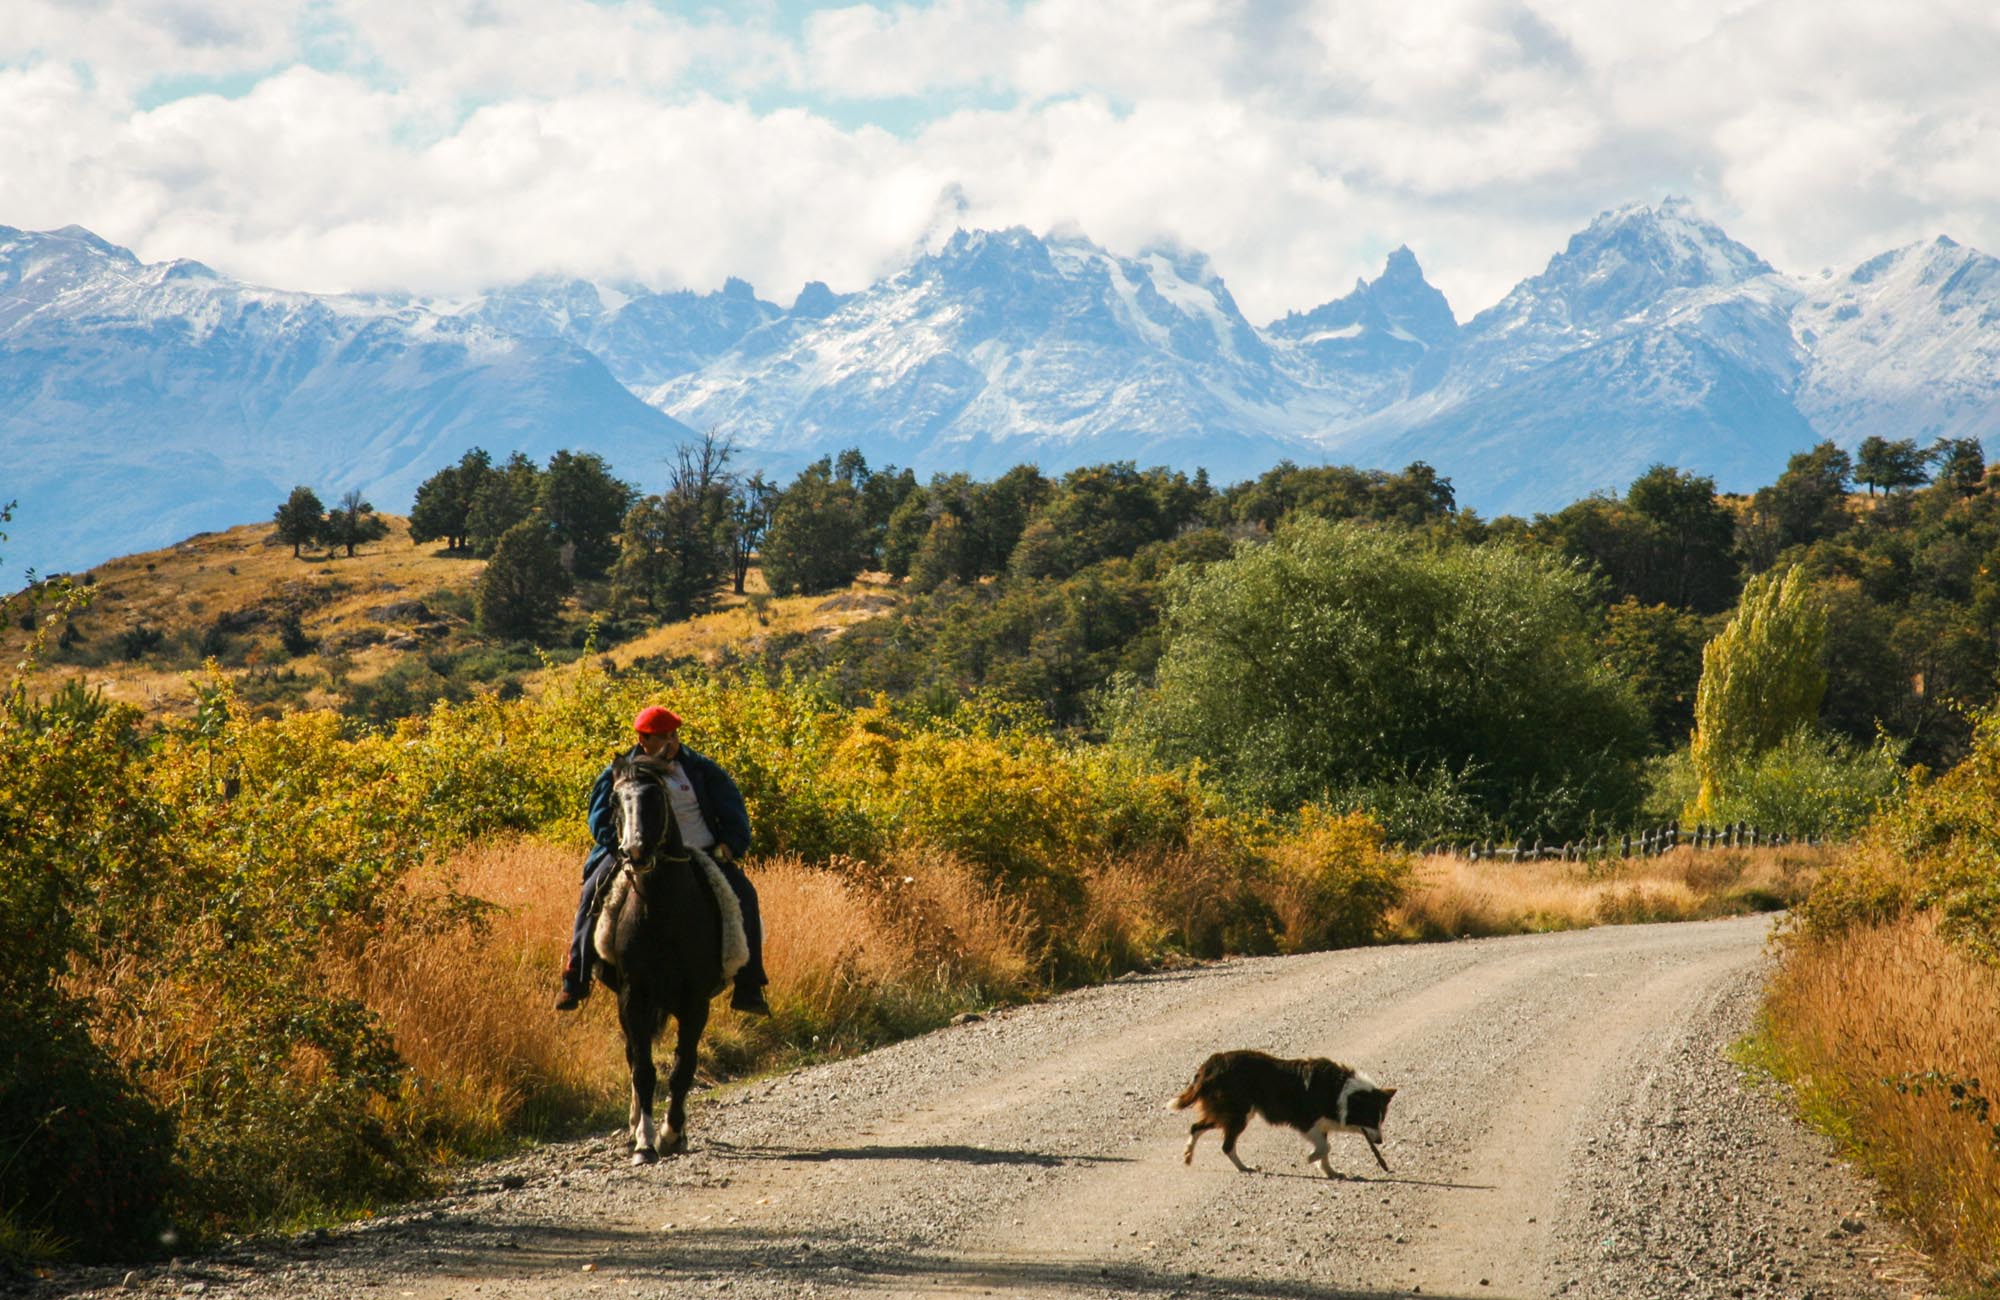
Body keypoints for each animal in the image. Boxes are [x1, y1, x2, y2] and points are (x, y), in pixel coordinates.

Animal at [596, 748, 732, 1168]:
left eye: (656, 798)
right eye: (614, 801)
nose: (636, 852)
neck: (661, 910)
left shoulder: (695, 1001)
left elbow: (683, 1067)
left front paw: (673, 1134)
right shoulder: (633, 997)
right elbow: (643, 1069)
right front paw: (644, 1142)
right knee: (632, 1057)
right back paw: (634, 1128)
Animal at [1168, 1040, 1400, 1176]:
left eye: (1381, 1120)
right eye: (1370, 1119)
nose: (1380, 1141)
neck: (1341, 1091)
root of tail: (1211, 1064)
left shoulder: (1322, 1125)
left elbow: (1326, 1151)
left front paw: (1330, 1171)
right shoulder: (1306, 1122)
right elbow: (1325, 1147)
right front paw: (1311, 1158)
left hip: (1229, 1112)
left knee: (1196, 1127)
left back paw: (1188, 1155)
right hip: (1239, 1114)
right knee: (1226, 1145)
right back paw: (1244, 1167)